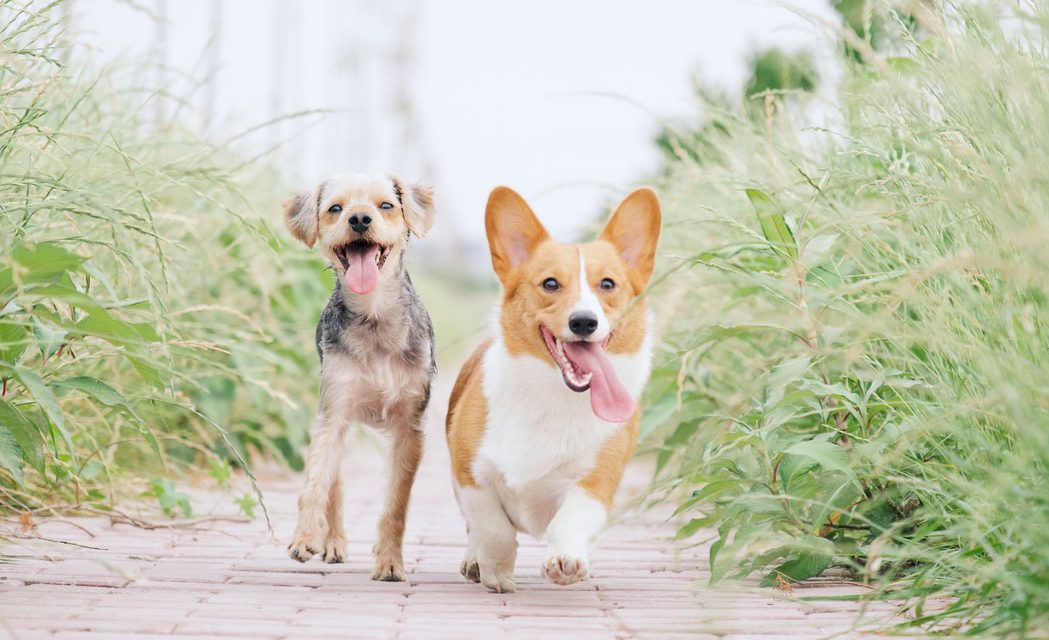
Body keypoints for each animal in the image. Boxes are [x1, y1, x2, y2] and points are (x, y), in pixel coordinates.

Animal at [281, 173, 436, 579]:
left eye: (386, 205)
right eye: (335, 208)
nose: (360, 219)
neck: (374, 314)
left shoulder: (409, 427)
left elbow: (396, 504)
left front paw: (390, 562)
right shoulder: (333, 410)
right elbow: (316, 483)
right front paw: (305, 536)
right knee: (334, 484)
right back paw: (331, 542)